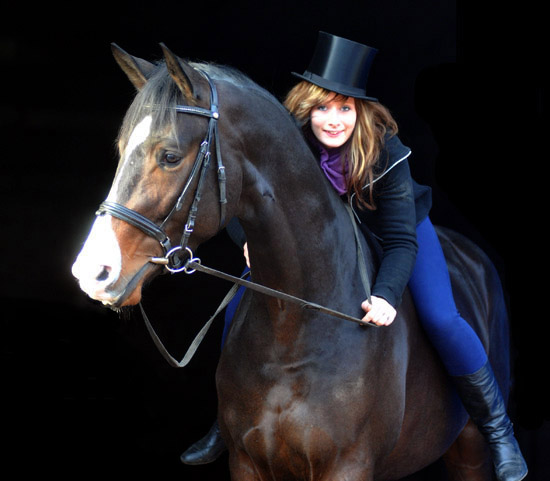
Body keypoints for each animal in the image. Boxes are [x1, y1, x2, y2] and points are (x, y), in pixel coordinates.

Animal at [72, 43, 512, 478]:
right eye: (121, 150)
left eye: (169, 156)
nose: (91, 273)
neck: (295, 332)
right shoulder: (246, 463)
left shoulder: (348, 465)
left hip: (469, 448)